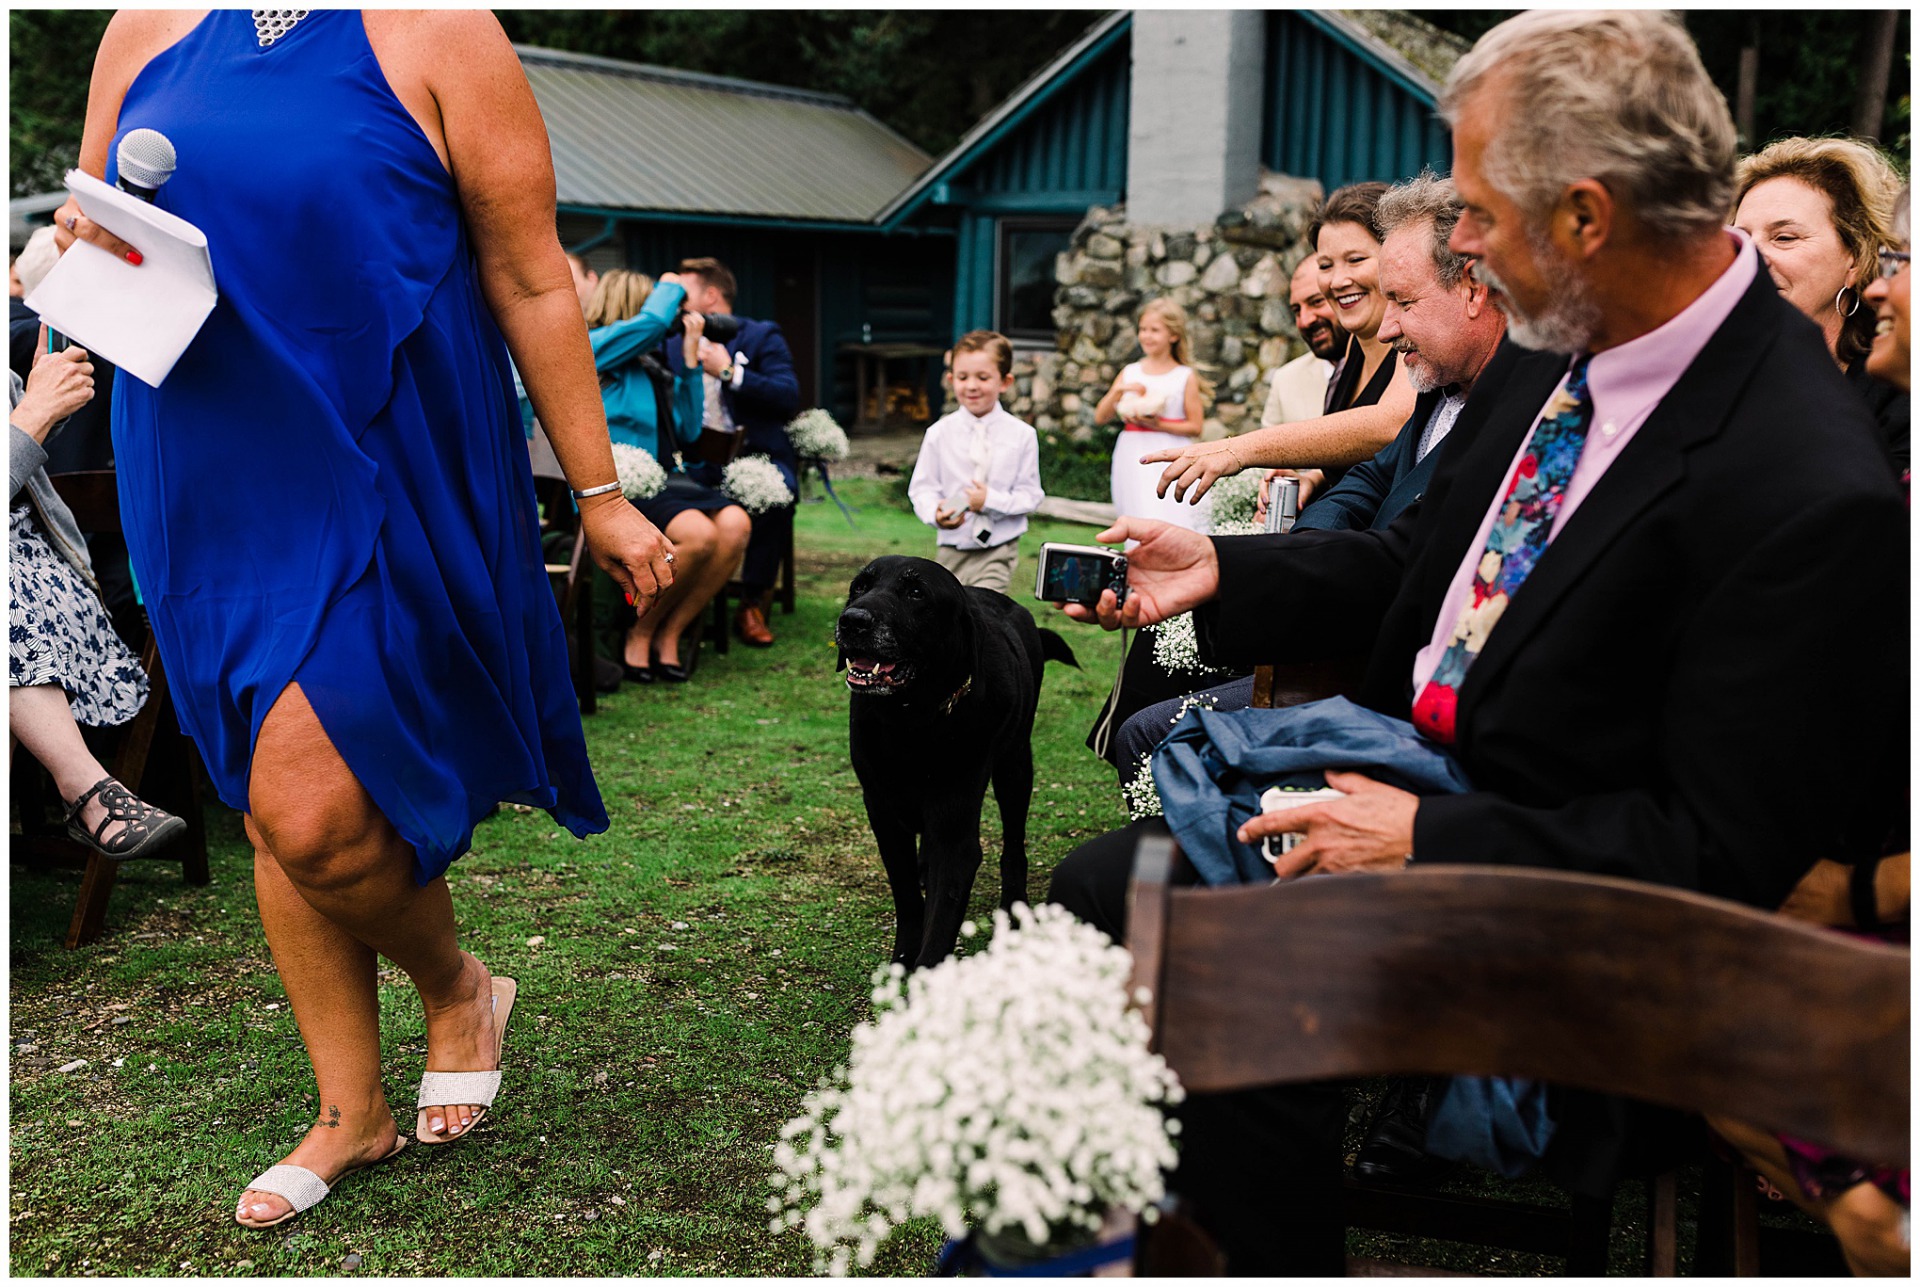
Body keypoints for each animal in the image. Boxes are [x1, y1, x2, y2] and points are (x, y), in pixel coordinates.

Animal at [840, 553, 1082, 968]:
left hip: (1015, 766)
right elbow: (907, 896)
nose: (852, 620)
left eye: (916, 592)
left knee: (1013, 845)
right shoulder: (883, 813)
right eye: (860, 586)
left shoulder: (955, 828)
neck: (912, 721)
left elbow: (942, 918)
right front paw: (903, 957)